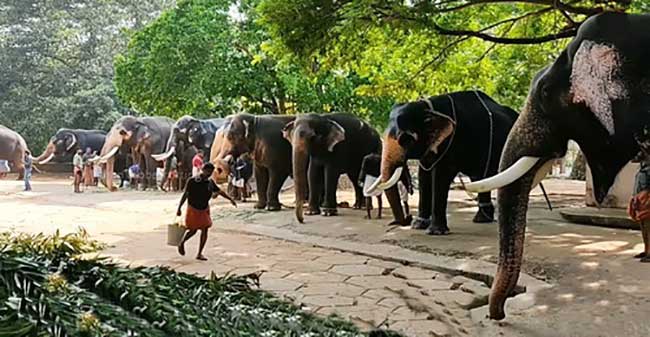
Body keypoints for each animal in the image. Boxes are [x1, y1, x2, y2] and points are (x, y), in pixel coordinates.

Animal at [370, 90, 516, 235]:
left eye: (406, 139)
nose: (408, 219)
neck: (429, 107)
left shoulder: (453, 141)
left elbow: (440, 175)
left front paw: (435, 231)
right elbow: (424, 175)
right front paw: (418, 225)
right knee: (480, 178)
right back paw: (481, 219)